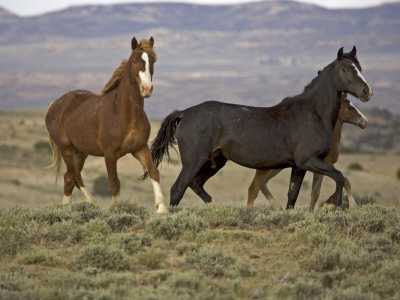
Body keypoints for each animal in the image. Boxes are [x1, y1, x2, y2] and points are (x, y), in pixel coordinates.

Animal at [45, 37, 167, 216]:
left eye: (152, 61)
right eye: (135, 61)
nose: (147, 89)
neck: (125, 113)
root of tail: (54, 105)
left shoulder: (140, 148)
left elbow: (154, 172)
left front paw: (162, 209)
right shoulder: (110, 154)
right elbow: (114, 184)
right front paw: (115, 211)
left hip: (80, 152)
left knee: (68, 179)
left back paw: (66, 210)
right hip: (66, 148)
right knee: (75, 177)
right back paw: (93, 204)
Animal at [149, 47, 372, 211]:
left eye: (360, 67)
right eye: (345, 69)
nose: (366, 91)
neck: (312, 112)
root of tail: (184, 113)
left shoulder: (298, 166)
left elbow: (293, 196)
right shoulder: (309, 161)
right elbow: (339, 176)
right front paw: (330, 204)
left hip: (216, 160)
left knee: (196, 184)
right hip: (194, 161)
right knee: (178, 189)